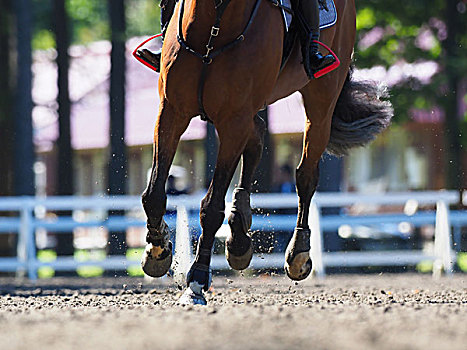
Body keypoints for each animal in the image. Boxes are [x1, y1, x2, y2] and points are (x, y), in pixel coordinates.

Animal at [141, 0, 394, 304]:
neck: (215, 24)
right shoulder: (171, 112)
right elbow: (154, 194)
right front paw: (158, 251)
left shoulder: (234, 120)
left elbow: (212, 206)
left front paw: (197, 280)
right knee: (257, 140)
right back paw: (239, 233)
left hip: (320, 102)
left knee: (305, 175)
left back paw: (298, 252)